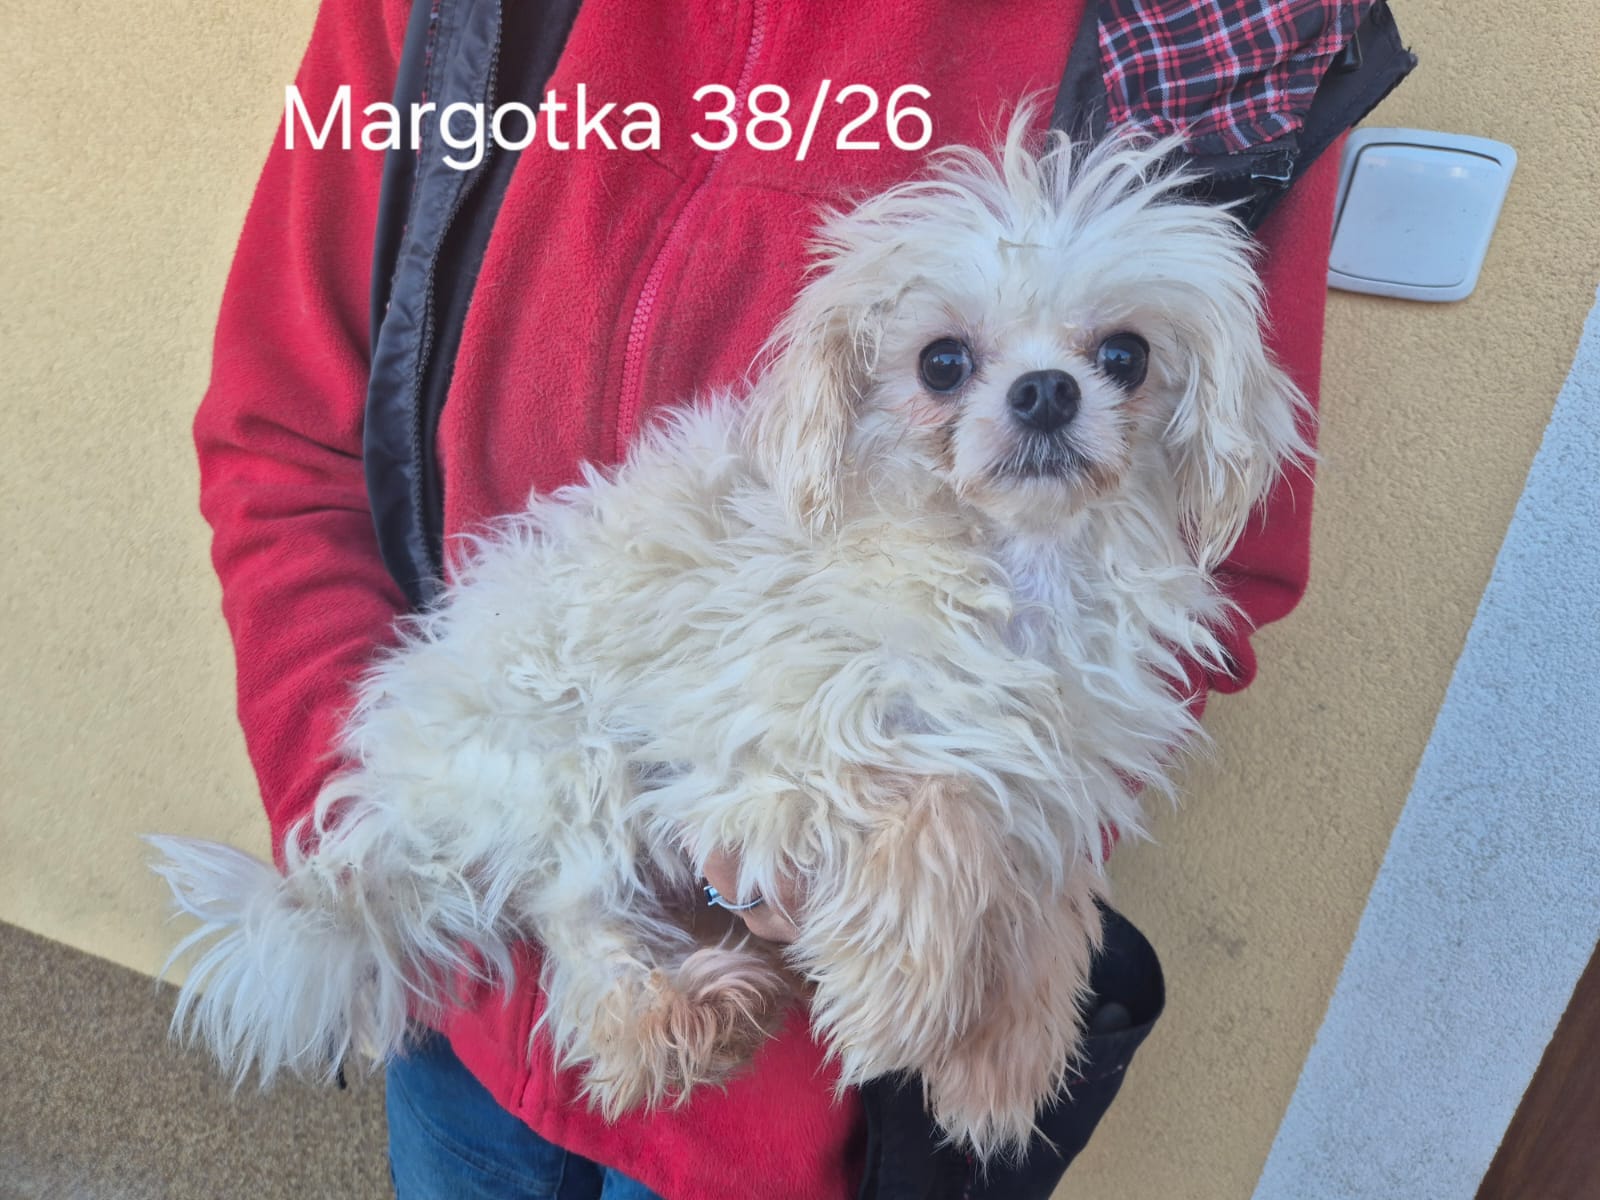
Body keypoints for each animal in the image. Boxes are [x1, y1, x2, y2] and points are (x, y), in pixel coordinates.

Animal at [149, 110, 1309, 1159]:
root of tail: (397, 800)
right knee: (575, 918)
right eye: (941, 362)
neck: (1013, 571)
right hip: (567, 759)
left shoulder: (1052, 772)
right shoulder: (768, 767)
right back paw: (667, 1017)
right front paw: (897, 995)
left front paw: (1005, 1053)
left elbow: (1043, 897)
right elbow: (946, 808)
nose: (1045, 391)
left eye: (1124, 354)